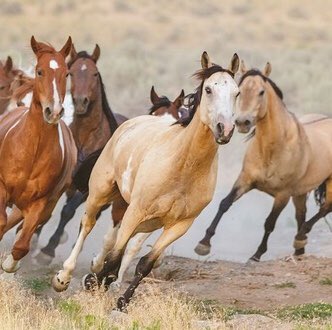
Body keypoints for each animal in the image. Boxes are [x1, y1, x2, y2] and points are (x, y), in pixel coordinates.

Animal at [0, 36, 76, 274]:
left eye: (66, 73)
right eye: (39, 71)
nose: (54, 111)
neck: (32, 151)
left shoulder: (39, 203)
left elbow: (21, 245)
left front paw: (10, 264)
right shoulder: (1, 186)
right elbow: (1, 222)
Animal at [51, 50, 239, 310]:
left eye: (237, 92)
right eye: (209, 89)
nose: (225, 129)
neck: (183, 166)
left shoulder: (179, 224)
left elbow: (145, 263)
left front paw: (121, 300)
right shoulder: (136, 211)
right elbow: (114, 255)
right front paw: (92, 282)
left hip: (146, 219)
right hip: (101, 192)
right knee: (87, 225)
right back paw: (64, 276)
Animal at [195, 60, 332, 262]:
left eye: (261, 92)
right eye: (240, 91)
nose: (242, 122)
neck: (273, 148)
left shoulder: (282, 194)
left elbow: (270, 223)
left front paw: (257, 255)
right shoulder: (245, 180)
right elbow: (224, 204)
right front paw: (204, 243)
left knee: (325, 208)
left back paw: (301, 237)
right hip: (300, 192)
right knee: (301, 215)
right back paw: (299, 249)